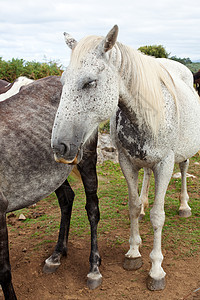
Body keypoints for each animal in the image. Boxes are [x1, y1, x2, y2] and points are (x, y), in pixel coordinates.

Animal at [0, 76, 101, 298]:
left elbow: (4, 271)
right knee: (67, 199)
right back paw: (56, 255)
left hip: (87, 158)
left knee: (92, 208)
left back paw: (94, 268)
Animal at [51, 24, 200, 292]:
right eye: (63, 81)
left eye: (90, 82)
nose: (59, 146)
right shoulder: (127, 162)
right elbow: (132, 206)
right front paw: (133, 252)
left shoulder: (165, 164)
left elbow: (158, 216)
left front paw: (156, 270)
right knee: (146, 178)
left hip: (182, 154)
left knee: (184, 169)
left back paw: (184, 206)